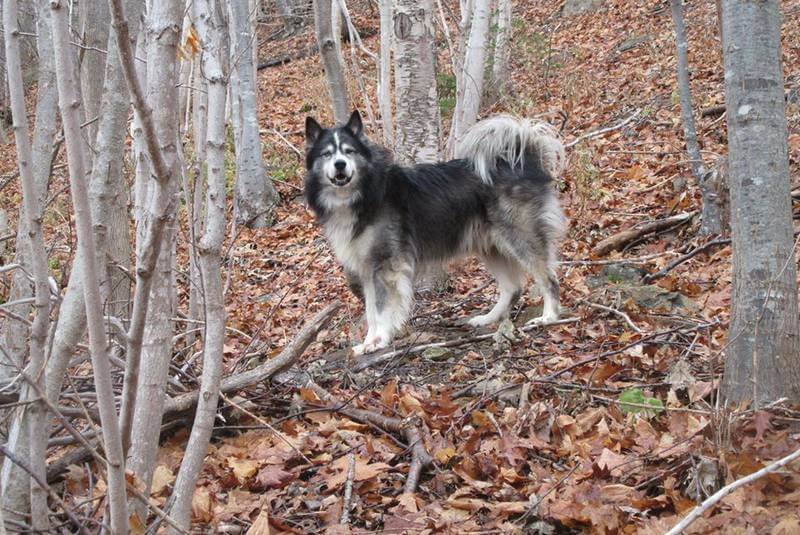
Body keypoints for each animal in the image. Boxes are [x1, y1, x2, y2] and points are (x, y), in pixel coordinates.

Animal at [302, 110, 568, 356]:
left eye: (349, 152)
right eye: (327, 154)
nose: (340, 164)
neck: (363, 194)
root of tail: (524, 159)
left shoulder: (386, 266)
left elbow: (381, 308)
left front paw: (377, 341)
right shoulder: (368, 269)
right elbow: (371, 311)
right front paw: (370, 341)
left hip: (521, 238)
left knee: (549, 279)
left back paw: (548, 317)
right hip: (491, 247)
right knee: (512, 288)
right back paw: (488, 319)